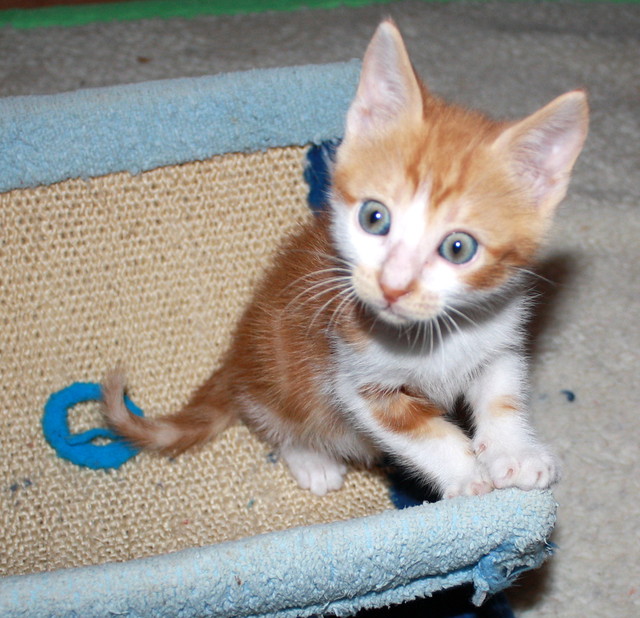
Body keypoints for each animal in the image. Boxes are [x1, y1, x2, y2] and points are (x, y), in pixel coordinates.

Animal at [102, 20, 588, 496]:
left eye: (458, 248)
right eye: (375, 218)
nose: (393, 285)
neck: (434, 338)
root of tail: (235, 359)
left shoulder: (498, 340)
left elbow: (503, 398)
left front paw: (515, 455)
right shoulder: (355, 380)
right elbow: (427, 435)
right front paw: (469, 478)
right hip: (279, 378)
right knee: (276, 419)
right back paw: (312, 460)